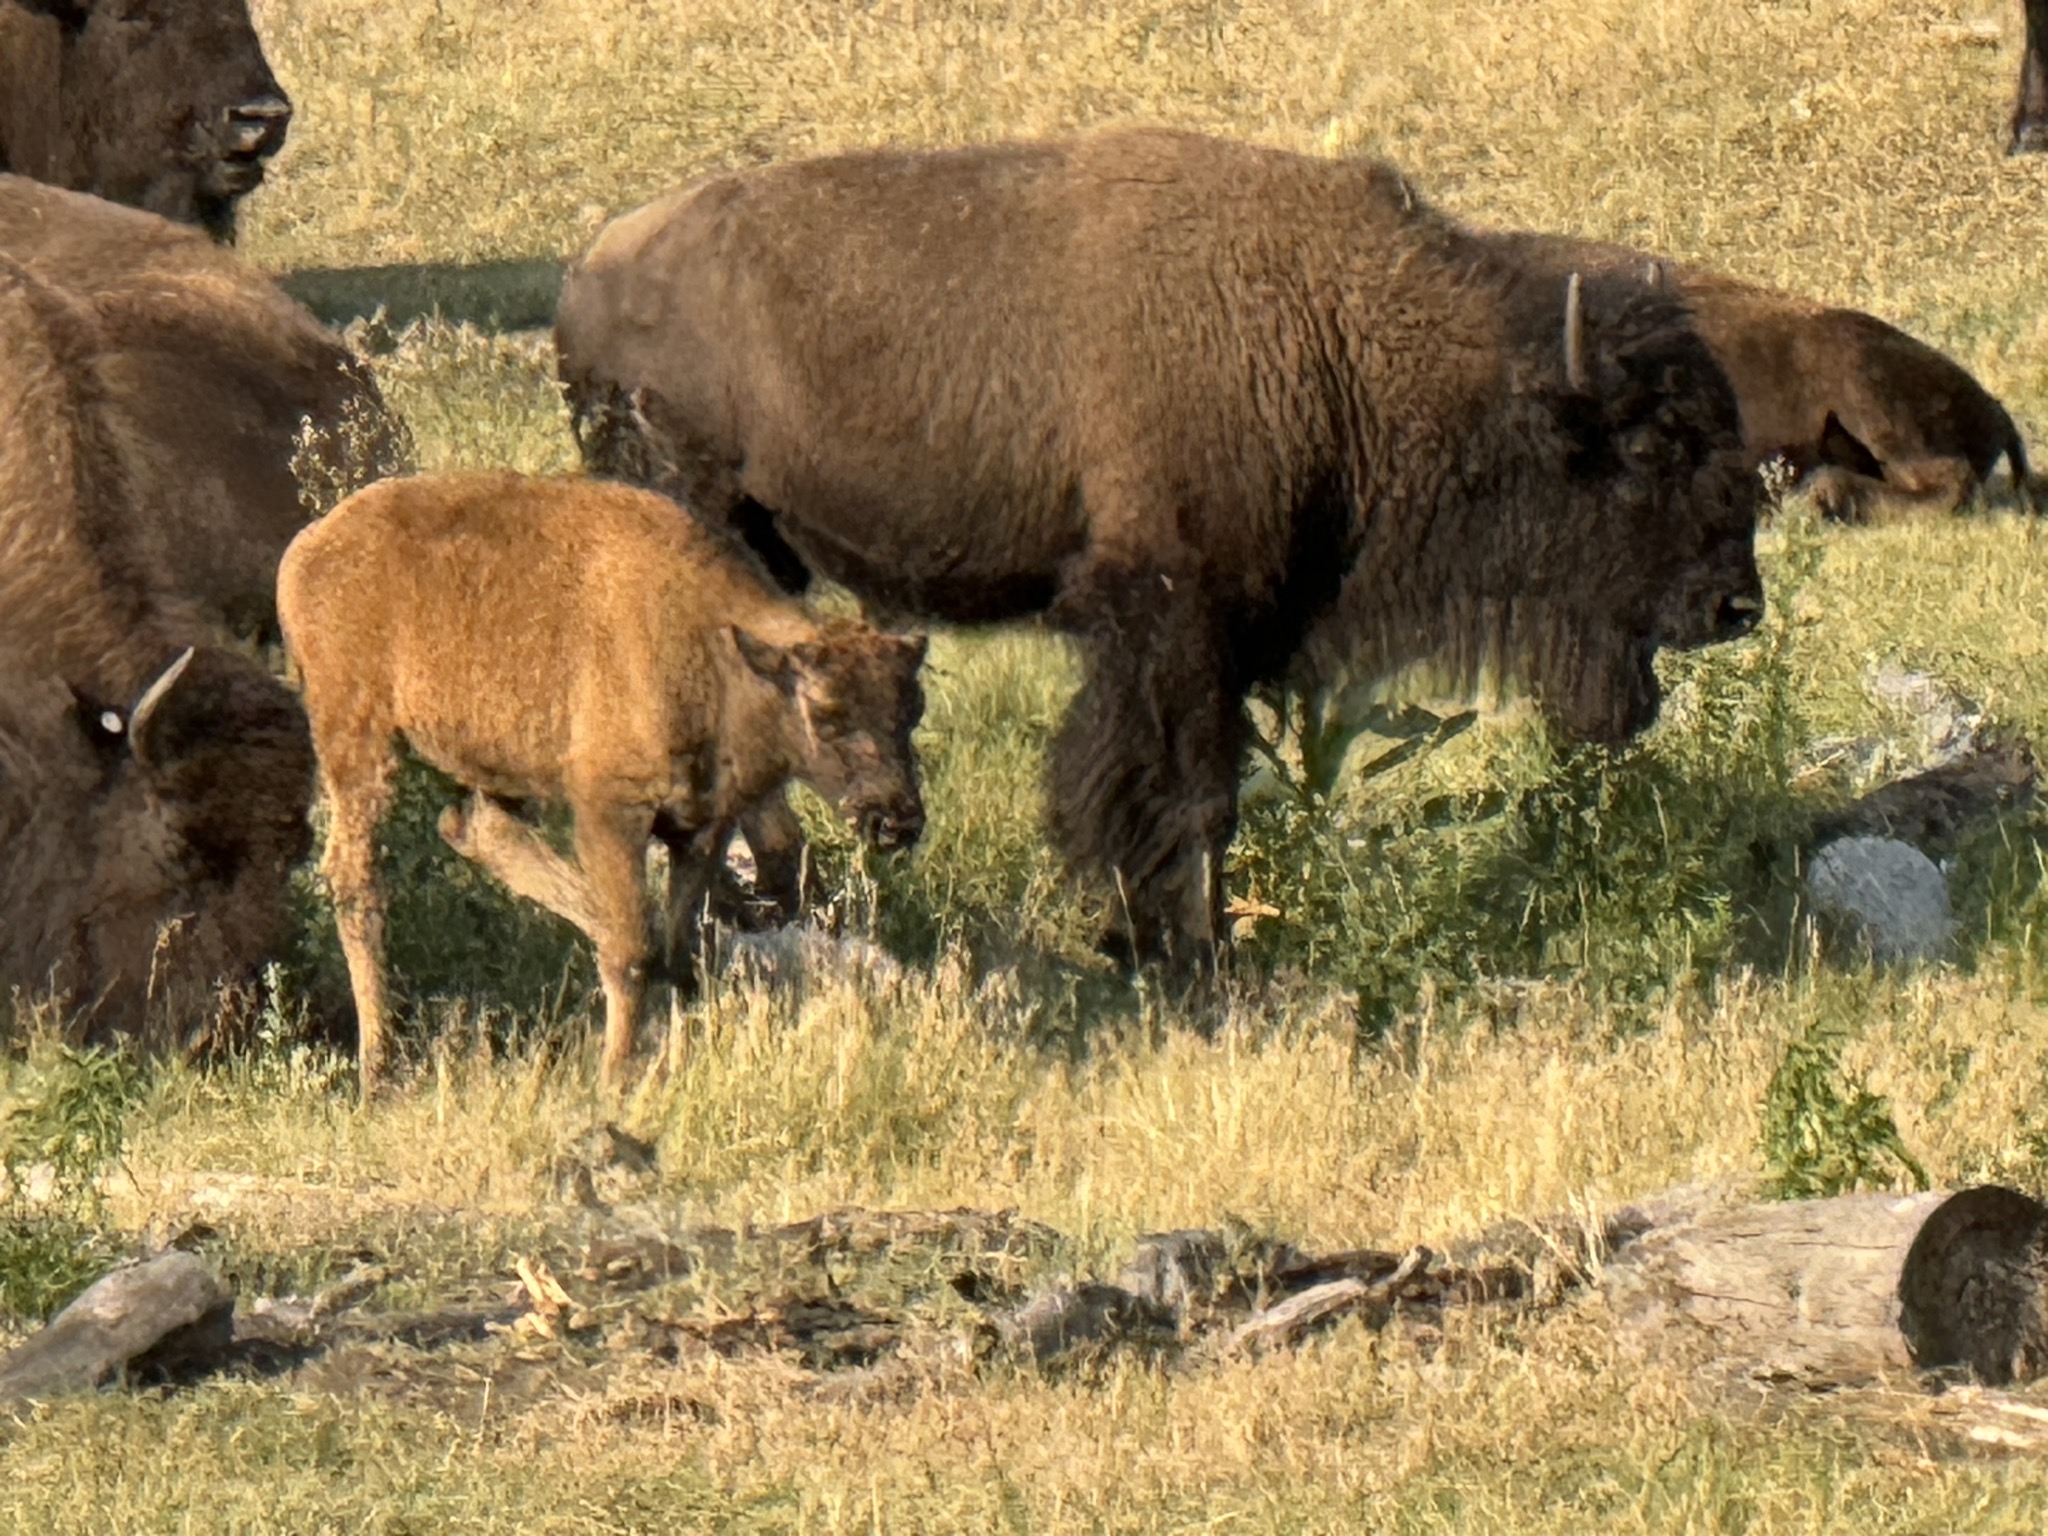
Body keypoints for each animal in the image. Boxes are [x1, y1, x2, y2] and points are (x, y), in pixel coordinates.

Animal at [278, 471, 928, 1094]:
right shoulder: (612, 814)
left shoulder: (702, 827)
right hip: (359, 742)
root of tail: (305, 551)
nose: (897, 819)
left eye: (913, 709)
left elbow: (676, 946)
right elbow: (633, 950)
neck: (719, 650)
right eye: (826, 712)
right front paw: (618, 1072)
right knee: (357, 880)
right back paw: (378, 1069)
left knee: (477, 828)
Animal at [555, 128, 1765, 967]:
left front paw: (1149, 943)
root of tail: (592, 273)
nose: (1735, 606)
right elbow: (1182, 795)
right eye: (1651, 445)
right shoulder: (1174, 615)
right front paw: (1186, 958)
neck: (1338, 332)